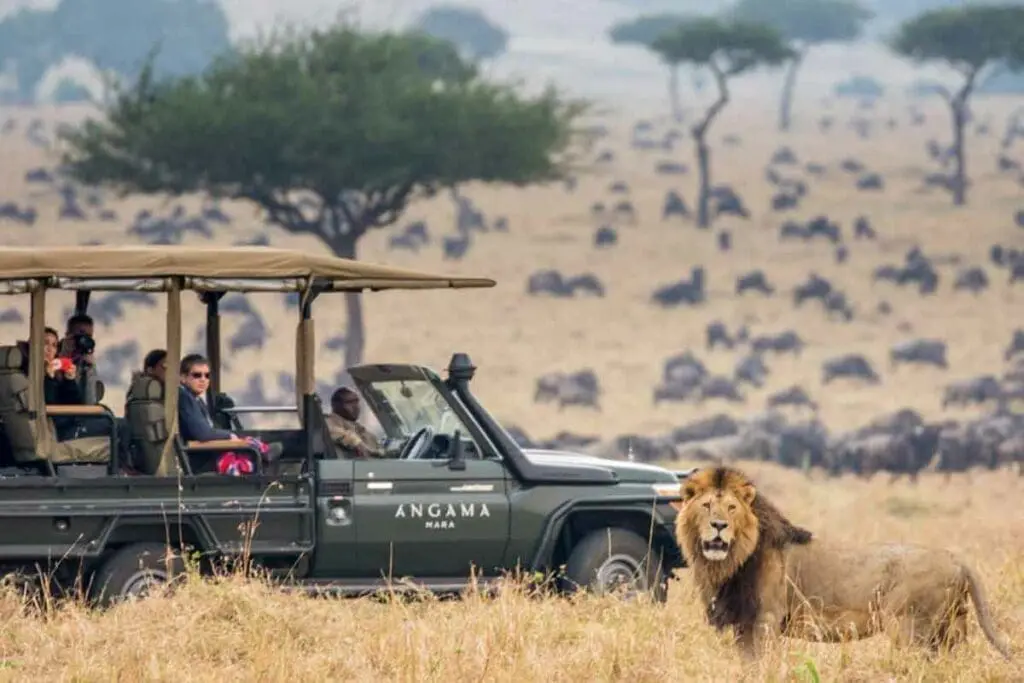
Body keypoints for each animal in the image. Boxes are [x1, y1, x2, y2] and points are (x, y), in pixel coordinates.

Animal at [675, 466, 1011, 659]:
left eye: (731, 508)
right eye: (706, 506)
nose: (719, 525)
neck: (730, 562)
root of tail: (956, 559)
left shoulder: (766, 621)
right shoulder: (743, 625)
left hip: (910, 629)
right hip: (951, 630)